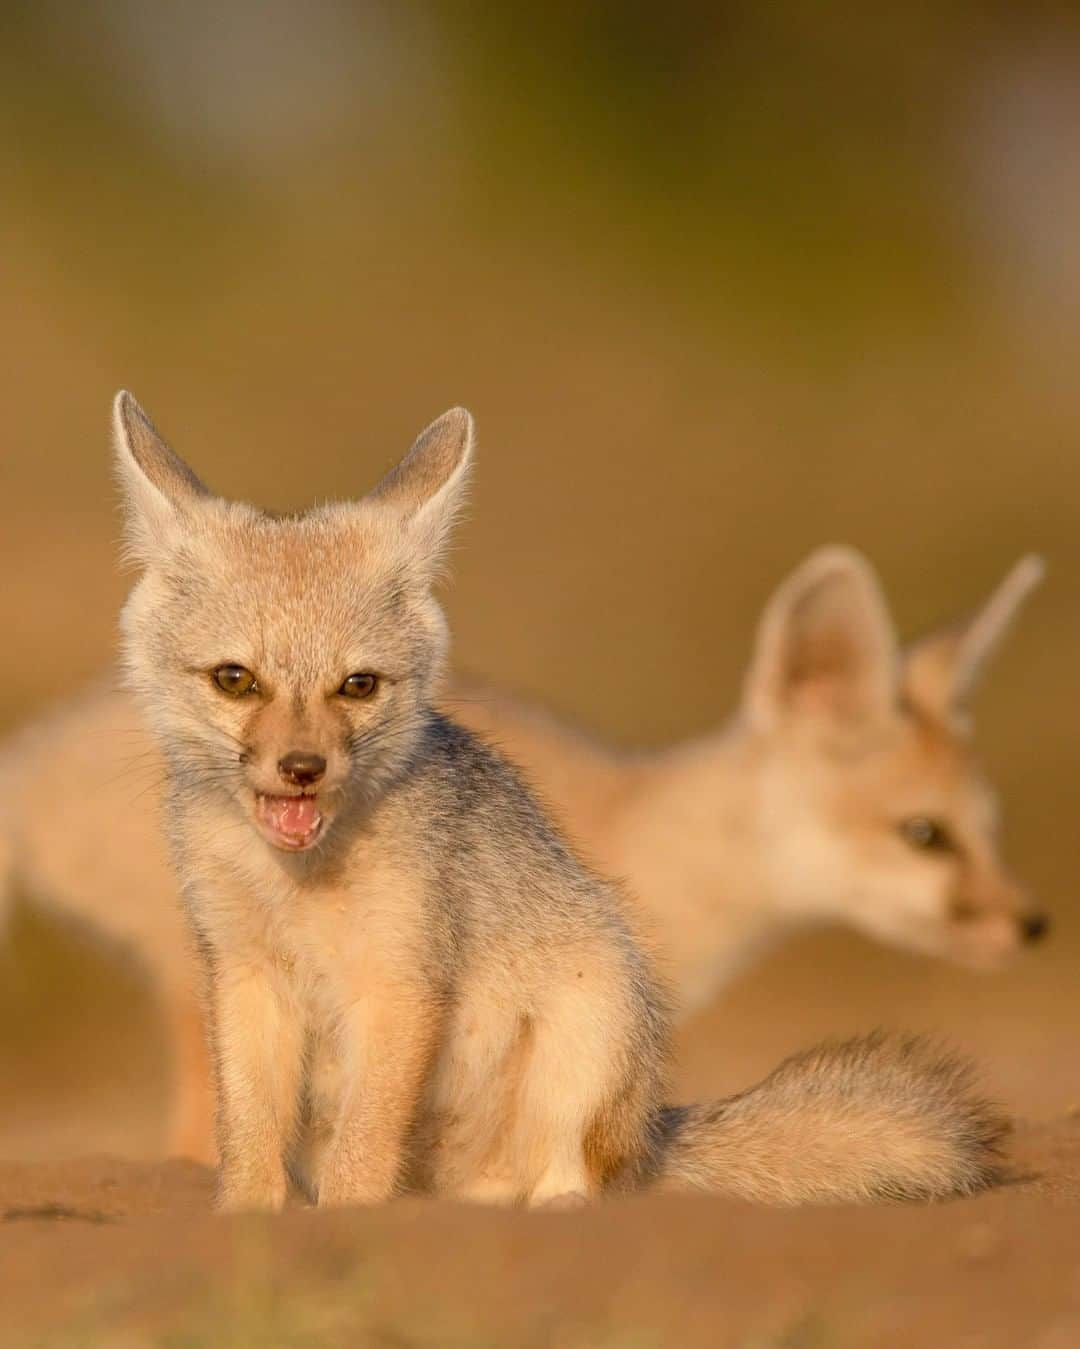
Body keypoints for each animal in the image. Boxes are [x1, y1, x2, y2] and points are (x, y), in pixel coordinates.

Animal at [109, 393, 1003, 1214]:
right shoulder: (240, 973)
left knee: (577, 1184)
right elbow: (247, 1137)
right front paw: (247, 1221)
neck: (294, 884)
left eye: (357, 686)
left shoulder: (400, 981)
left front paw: (346, 1223)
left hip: (593, 1021)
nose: (302, 768)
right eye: (236, 680)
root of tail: (649, 1133)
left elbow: (361, 1159)